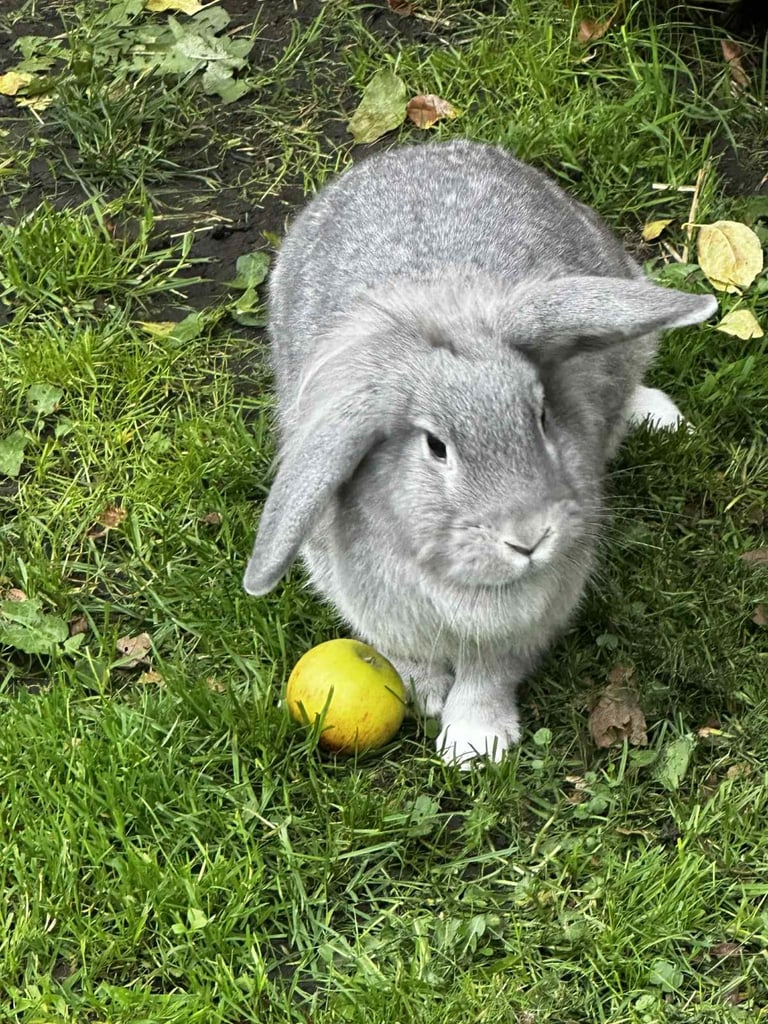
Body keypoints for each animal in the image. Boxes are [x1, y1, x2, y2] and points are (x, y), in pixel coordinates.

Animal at [242, 139, 716, 767]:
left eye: (541, 415)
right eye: (435, 446)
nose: (530, 537)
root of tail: (422, 150)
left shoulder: (524, 624)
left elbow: (489, 675)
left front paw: (474, 741)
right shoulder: (380, 611)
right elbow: (410, 658)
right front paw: (424, 696)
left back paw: (659, 415)